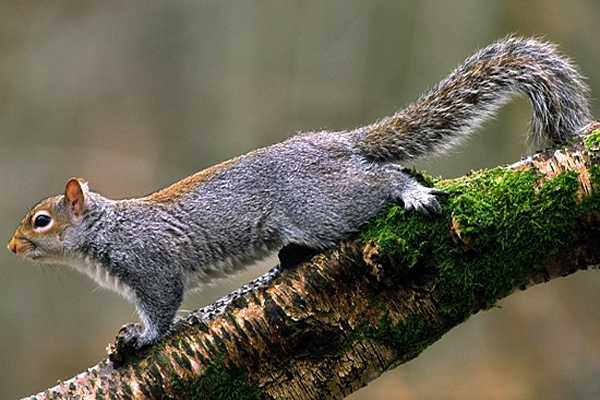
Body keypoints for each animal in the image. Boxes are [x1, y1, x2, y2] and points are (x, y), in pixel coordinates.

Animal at [7, 37, 592, 350]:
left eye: (41, 221)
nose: (10, 248)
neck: (107, 229)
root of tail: (334, 141)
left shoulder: (150, 263)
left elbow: (163, 304)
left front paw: (142, 337)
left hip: (323, 205)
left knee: (382, 181)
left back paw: (410, 192)